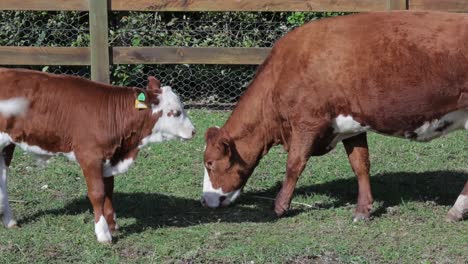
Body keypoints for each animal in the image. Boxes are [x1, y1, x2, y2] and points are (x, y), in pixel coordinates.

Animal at [0, 68, 196, 243]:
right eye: (175, 112)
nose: (194, 131)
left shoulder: (109, 157)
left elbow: (109, 189)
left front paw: (112, 224)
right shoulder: (90, 156)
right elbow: (97, 193)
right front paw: (103, 233)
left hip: (7, 145)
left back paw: (9, 220)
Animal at [201, 11, 468, 223]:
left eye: (210, 163)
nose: (204, 201)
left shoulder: (306, 123)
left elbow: (294, 164)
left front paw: (279, 207)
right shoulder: (352, 125)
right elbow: (360, 164)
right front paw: (363, 210)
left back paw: (456, 210)